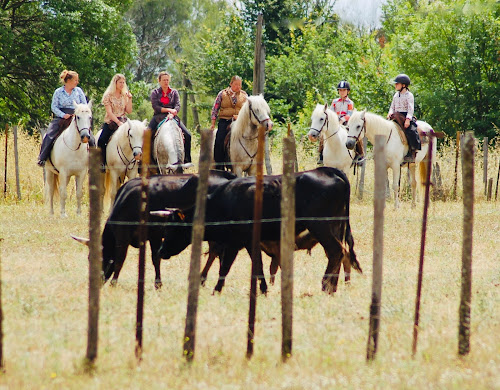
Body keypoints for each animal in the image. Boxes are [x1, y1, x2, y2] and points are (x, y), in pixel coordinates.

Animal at [73, 171, 236, 290]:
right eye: (89, 258)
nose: (97, 281)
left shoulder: (136, 235)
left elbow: (124, 258)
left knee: (216, 251)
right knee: (216, 251)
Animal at [154, 166, 362, 294]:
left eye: (173, 229)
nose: (161, 251)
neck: (226, 201)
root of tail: (328, 170)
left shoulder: (235, 242)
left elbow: (226, 265)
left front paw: (216, 289)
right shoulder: (248, 241)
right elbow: (258, 265)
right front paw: (263, 289)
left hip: (321, 226)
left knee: (336, 252)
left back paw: (326, 286)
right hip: (335, 226)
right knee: (339, 253)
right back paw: (332, 286)